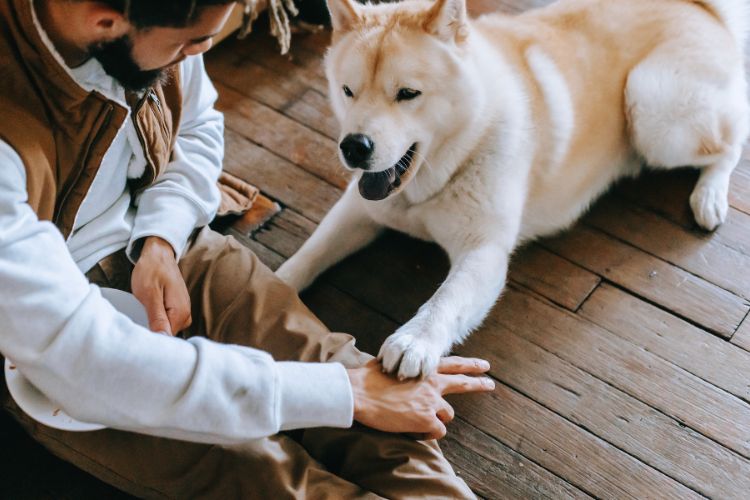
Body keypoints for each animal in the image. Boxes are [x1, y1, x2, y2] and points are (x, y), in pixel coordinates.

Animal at [278, 0, 750, 376]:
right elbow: (310, 253)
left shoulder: (483, 250)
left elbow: (445, 300)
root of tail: (701, 8)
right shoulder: (359, 208)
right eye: (348, 91)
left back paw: (709, 196)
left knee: (731, 142)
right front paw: (274, 285)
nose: (354, 146)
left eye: (408, 94)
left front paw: (415, 341)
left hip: (652, 107)